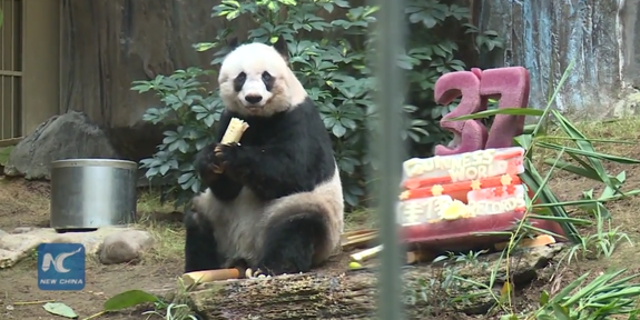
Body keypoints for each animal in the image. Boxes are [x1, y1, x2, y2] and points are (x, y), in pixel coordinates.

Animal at [184, 34, 344, 276]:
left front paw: (232, 155)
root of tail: (245, 253)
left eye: (266, 76)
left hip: (299, 209)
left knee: (296, 227)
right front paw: (210, 158)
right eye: (241, 77)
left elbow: (293, 171)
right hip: (217, 216)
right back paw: (199, 269)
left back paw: (269, 268)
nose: (253, 97)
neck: (258, 118)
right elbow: (226, 191)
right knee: (197, 220)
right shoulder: (229, 117)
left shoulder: (299, 118)